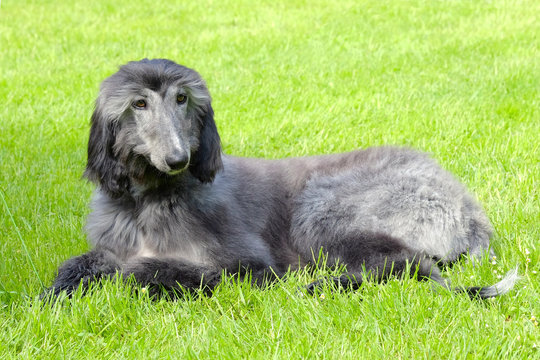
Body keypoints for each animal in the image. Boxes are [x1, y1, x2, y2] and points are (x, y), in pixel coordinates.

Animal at [48, 59, 516, 300]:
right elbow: (83, 262)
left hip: (325, 209)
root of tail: (468, 207)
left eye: (181, 98)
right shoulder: (112, 243)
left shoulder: (251, 264)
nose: (178, 159)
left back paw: (325, 285)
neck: (151, 201)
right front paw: (56, 292)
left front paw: (132, 277)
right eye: (139, 104)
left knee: (407, 265)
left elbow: (155, 270)